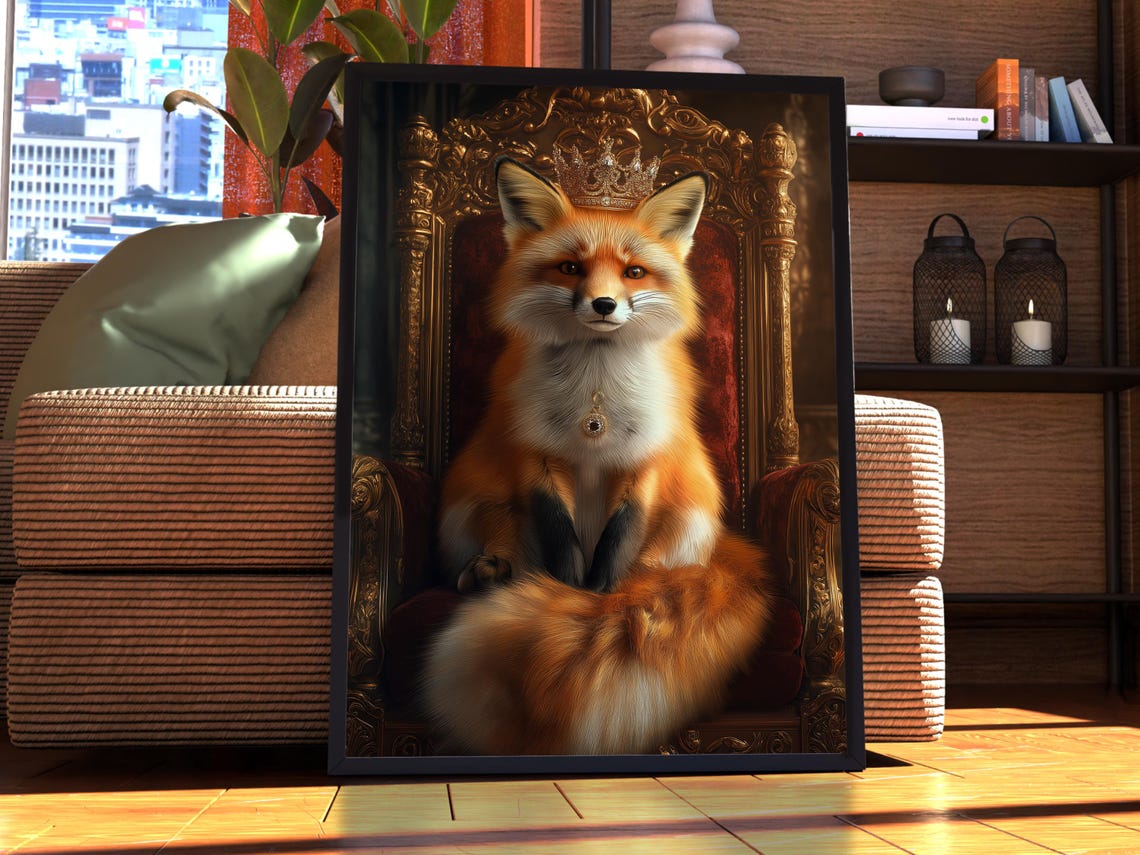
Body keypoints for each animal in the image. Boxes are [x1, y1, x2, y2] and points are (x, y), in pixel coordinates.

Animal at [422, 155, 775, 755]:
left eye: (633, 273)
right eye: (570, 268)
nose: (604, 304)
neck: (595, 395)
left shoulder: (644, 460)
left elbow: (617, 542)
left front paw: (601, 601)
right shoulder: (536, 456)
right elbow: (561, 542)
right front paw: (570, 596)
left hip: (689, 515)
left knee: (660, 567)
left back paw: (646, 584)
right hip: (480, 503)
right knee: (505, 549)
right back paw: (494, 572)